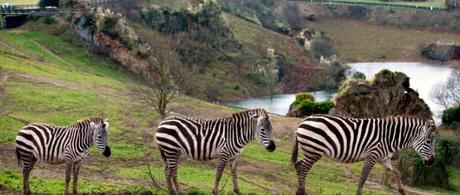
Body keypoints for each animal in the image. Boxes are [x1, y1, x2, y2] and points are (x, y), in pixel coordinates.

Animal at [292, 114, 434, 195]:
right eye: (429, 141)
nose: (432, 162)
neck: (389, 137)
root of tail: (304, 120)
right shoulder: (372, 155)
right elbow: (363, 178)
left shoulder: (384, 158)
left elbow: (397, 173)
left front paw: (402, 192)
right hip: (313, 150)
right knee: (303, 169)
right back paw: (302, 191)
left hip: (311, 151)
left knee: (299, 166)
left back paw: (299, 191)